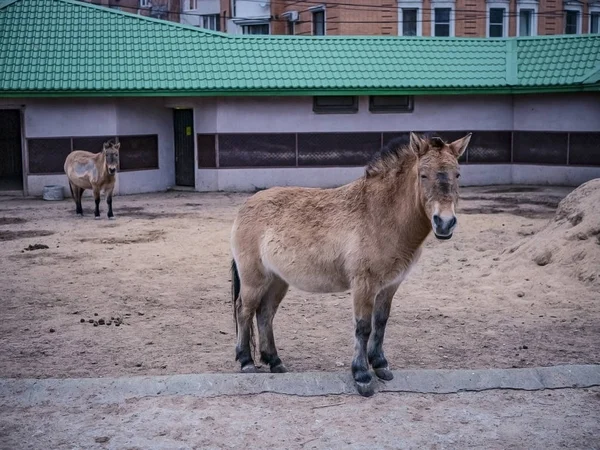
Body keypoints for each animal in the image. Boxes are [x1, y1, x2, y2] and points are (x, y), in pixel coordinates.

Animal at [232, 132, 472, 396]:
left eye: (457, 174)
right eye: (423, 175)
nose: (445, 223)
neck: (379, 215)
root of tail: (246, 206)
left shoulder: (389, 286)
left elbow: (380, 323)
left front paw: (380, 364)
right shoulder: (364, 285)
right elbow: (363, 327)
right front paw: (362, 375)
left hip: (278, 281)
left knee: (265, 314)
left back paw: (275, 361)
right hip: (254, 279)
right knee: (244, 310)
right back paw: (246, 362)